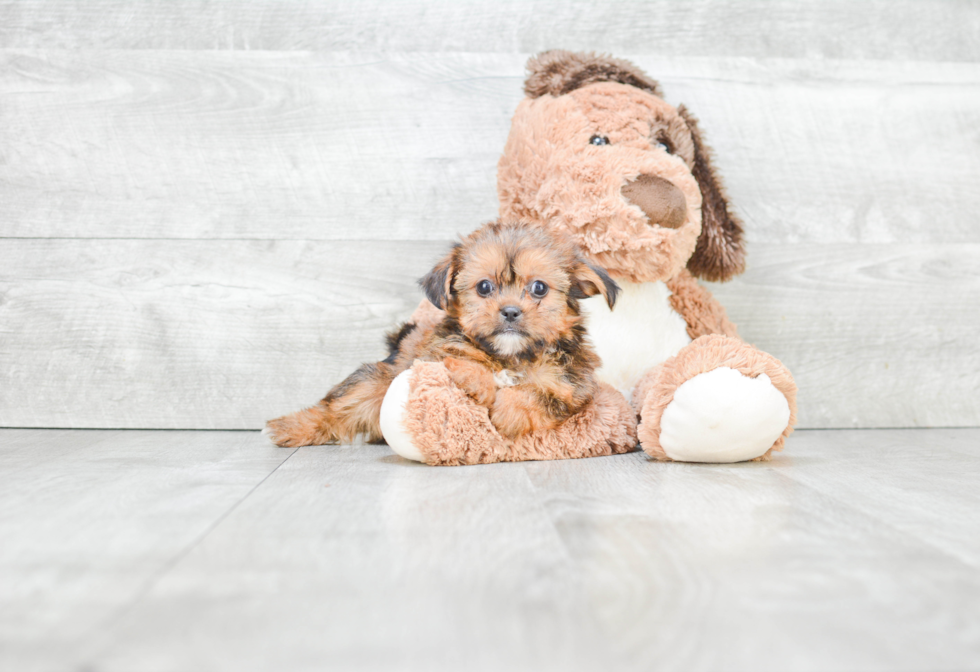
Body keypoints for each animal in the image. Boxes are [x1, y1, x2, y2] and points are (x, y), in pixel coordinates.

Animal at [266, 220, 620, 448]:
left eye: (539, 288)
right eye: (484, 287)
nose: (510, 312)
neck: (511, 355)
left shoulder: (572, 387)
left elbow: (540, 395)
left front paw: (507, 412)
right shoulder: (433, 352)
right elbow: (458, 357)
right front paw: (480, 382)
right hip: (378, 381)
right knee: (337, 406)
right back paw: (289, 428)